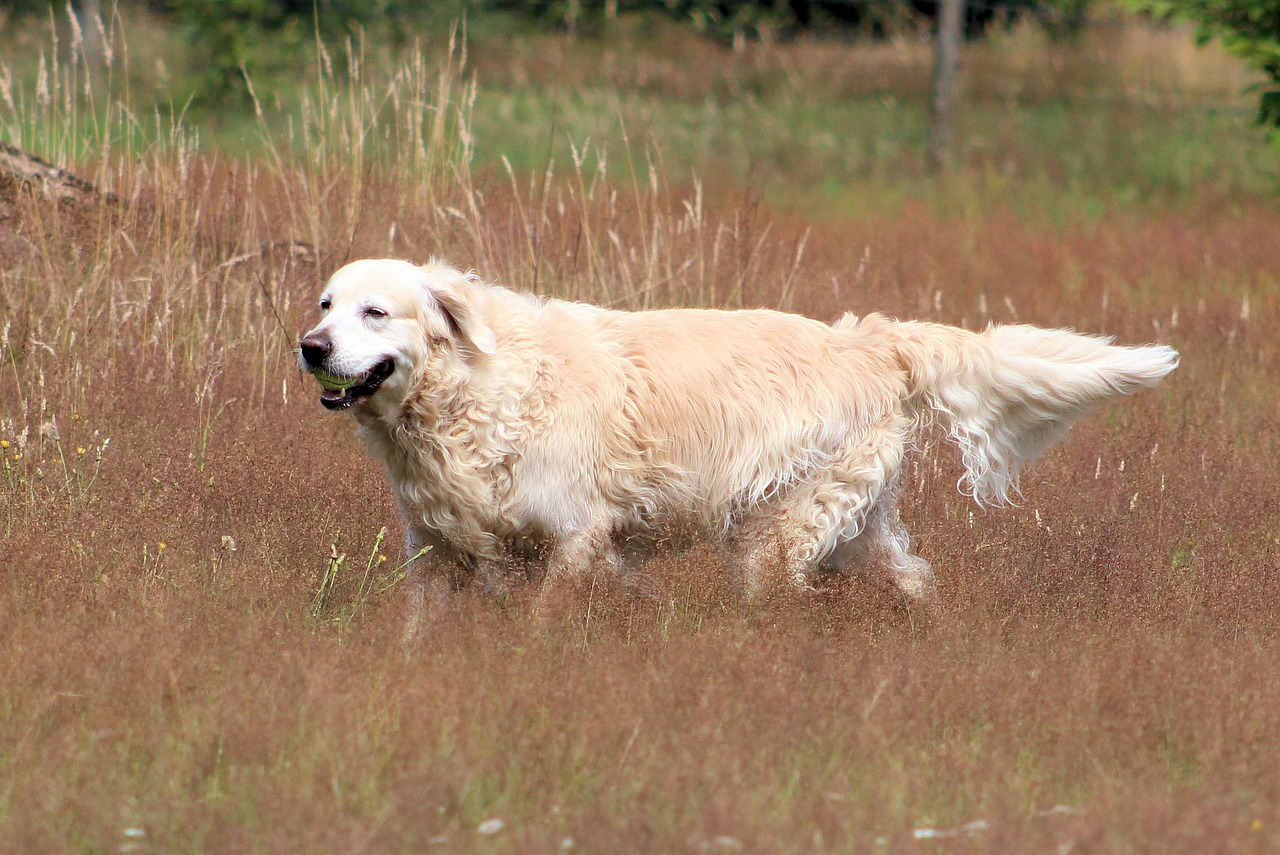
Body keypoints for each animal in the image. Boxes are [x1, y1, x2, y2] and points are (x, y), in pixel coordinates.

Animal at [299, 257, 1177, 624]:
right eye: (325, 303)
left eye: (376, 312)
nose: (309, 346)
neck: (474, 391)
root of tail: (868, 338)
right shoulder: (435, 549)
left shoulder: (578, 539)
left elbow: (546, 621)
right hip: (854, 529)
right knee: (915, 582)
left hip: (777, 538)